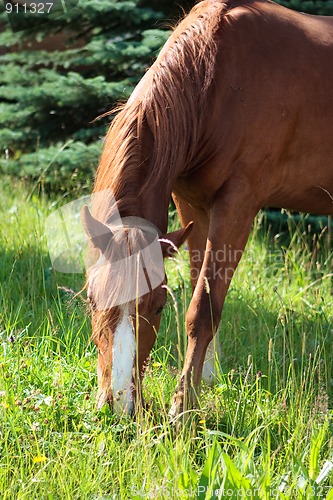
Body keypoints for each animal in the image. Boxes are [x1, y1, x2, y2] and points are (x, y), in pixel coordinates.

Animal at [81, 0, 332, 414]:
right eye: (91, 297)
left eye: (157, 307)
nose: (119, 405)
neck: (218, 81)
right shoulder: (192, 205)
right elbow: (202, 286)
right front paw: (207, 380)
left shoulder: (238, 204)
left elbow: (203, 308)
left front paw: (184, 408)